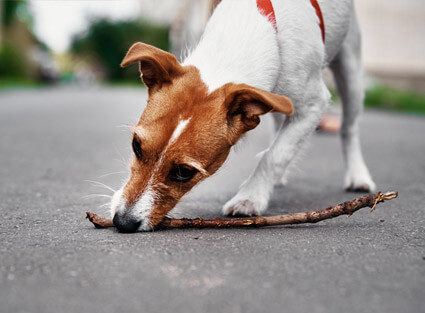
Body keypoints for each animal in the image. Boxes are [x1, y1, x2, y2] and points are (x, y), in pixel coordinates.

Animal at [109, 0, 374, 230]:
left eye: (184, 172)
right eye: (136, 146)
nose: (123, 222)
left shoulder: (314, 104)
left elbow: (275, 156)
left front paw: (251, 197)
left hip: (351, 70)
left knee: (348, 127)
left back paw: (358, 175)